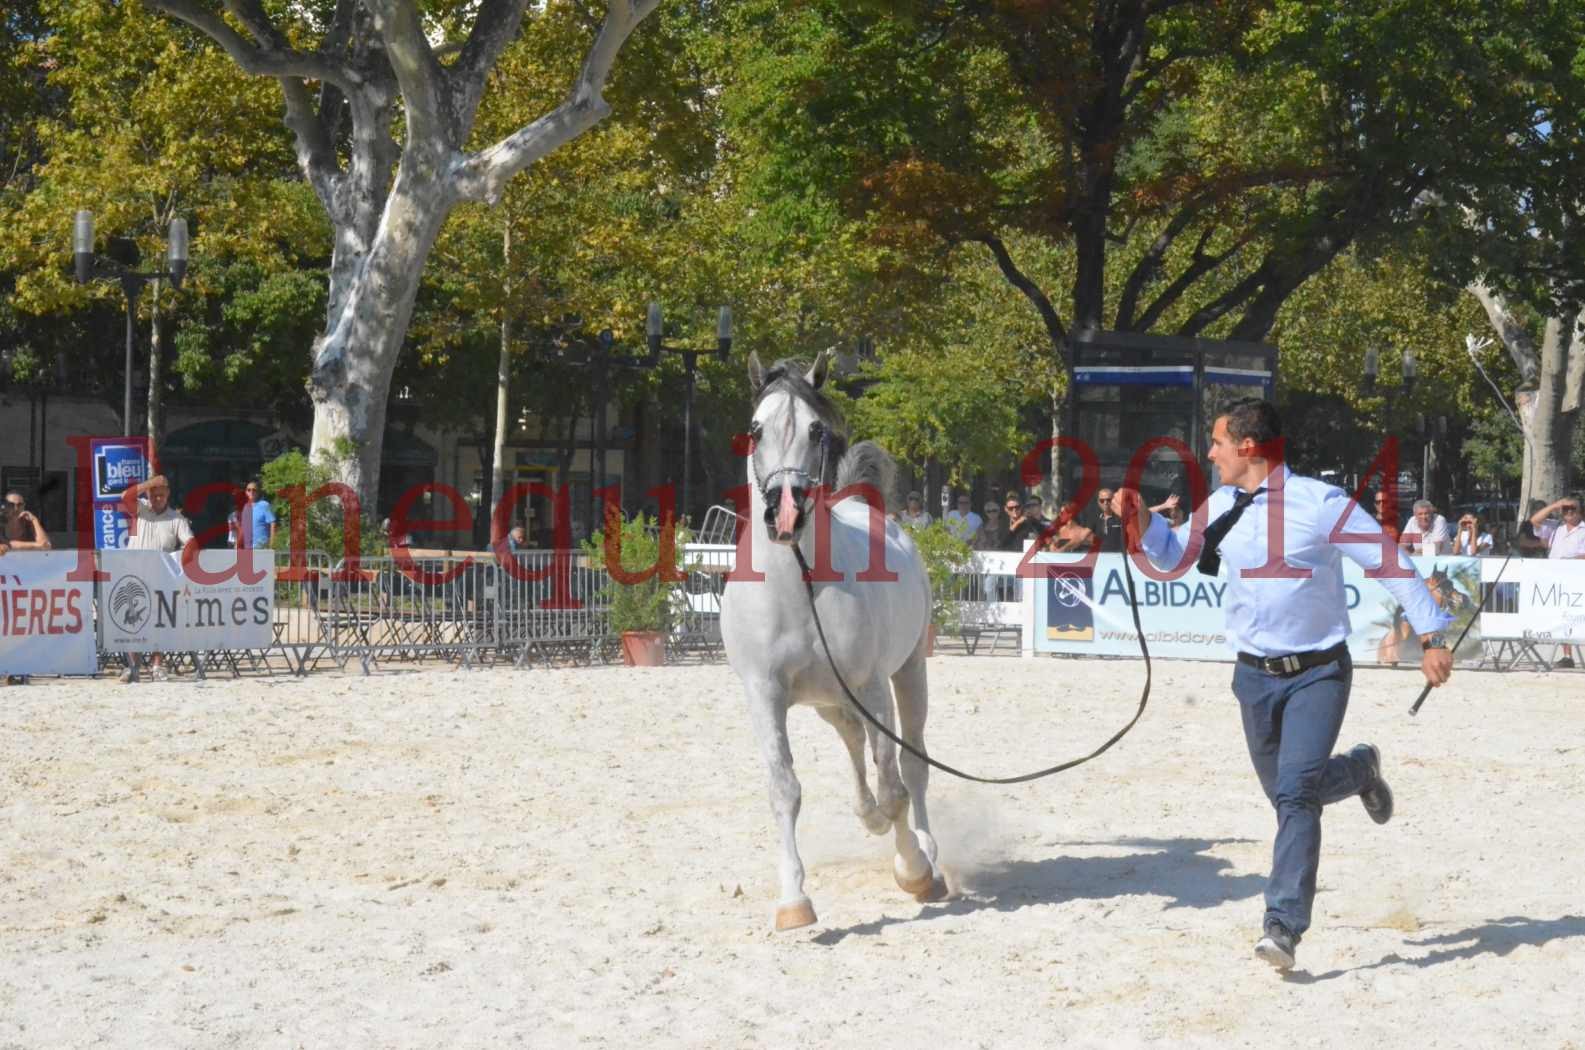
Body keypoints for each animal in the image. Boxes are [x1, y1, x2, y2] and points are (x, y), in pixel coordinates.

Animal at [725, 352, 944, 932]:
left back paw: (927, 855)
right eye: (755, 430)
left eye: (815, 429)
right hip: (827, 701)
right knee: (853, 741)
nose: (784, 511)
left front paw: (911, 868)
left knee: (911, 763)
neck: (798, 584)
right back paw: (868, 818)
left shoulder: (871, 686)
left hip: (907, 675)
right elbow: (784, 788)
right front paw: (793, 902)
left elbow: (894, 784)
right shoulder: (765, 695)